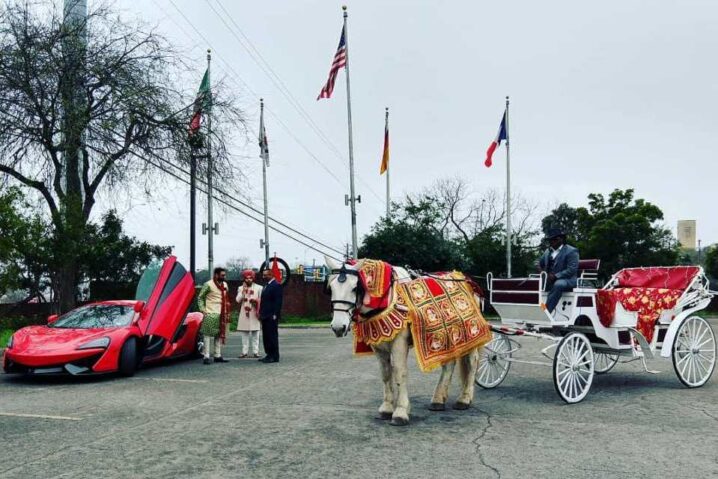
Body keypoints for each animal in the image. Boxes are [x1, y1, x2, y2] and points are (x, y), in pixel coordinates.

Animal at [326, 256, 484, 426]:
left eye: (355, 288)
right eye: (331, 288)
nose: (338, 327)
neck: (387, 298)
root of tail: (467, 280)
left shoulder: (399, 342)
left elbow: (399, 373)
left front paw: (401, 411)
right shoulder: (378, 345)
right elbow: (385, 374)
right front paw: (387, 408)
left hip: (470, 333)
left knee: (472, 362)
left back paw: (464, 399)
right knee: (449, 364)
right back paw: (438, 400)